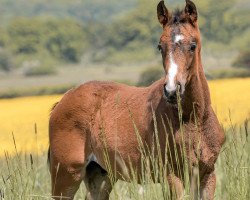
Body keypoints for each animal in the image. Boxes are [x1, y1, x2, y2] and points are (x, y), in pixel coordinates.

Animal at [48, 0, 225, 199]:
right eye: (160, 46)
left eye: (193, 45)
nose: (172, 90)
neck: (193, 119)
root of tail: (61, 102)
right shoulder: (173, 175)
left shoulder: (207, 174)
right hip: (65, 175)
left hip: (101, 174)